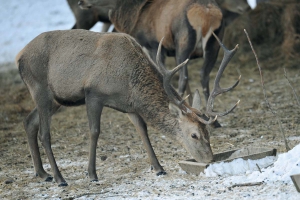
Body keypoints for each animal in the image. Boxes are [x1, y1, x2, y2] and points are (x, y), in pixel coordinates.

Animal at [16, 29, 239, 186]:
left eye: (208, 132)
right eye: (194, 135)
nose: (209, 158)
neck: (129, 83)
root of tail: (19, 56)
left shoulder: (129, 106)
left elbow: (143, 130)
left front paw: (159, 168)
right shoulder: (93, 93)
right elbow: (94, 132)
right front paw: (92, 174)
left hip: (56, 99)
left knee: (29, 121)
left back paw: (42, 173)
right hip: (40, 87)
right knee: (44, 133)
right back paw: (59, 178)